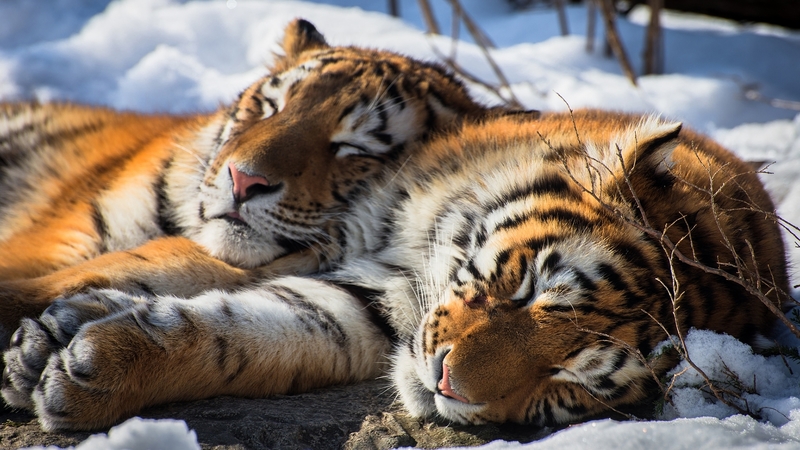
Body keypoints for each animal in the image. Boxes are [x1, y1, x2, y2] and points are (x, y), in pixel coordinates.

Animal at [2, 108, 789, 431]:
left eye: (570, 384)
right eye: (529, 287)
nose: (445, 382)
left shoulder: (359, 307)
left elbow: (237, 335)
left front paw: (88, 371)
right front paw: (49, 332)